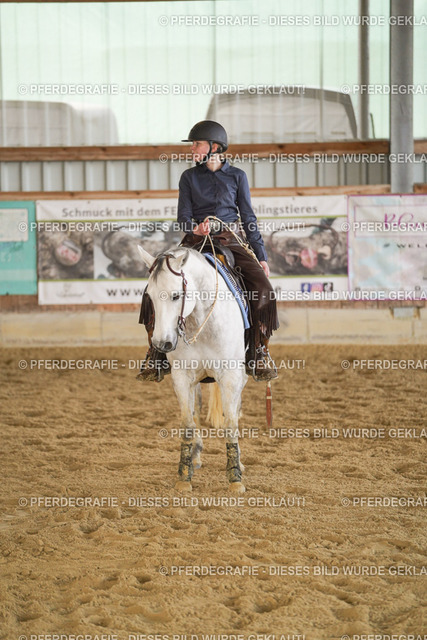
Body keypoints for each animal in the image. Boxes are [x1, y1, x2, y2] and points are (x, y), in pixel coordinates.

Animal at [137, 245, 248, 494]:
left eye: (176, 295)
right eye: (149, 296)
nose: (162, 343)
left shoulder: (231, 376)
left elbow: (230, 423)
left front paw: (235, 478)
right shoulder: (182, 376)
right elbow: (187, 424)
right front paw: (184, 476)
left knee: (235, 409)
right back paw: (195, 456)